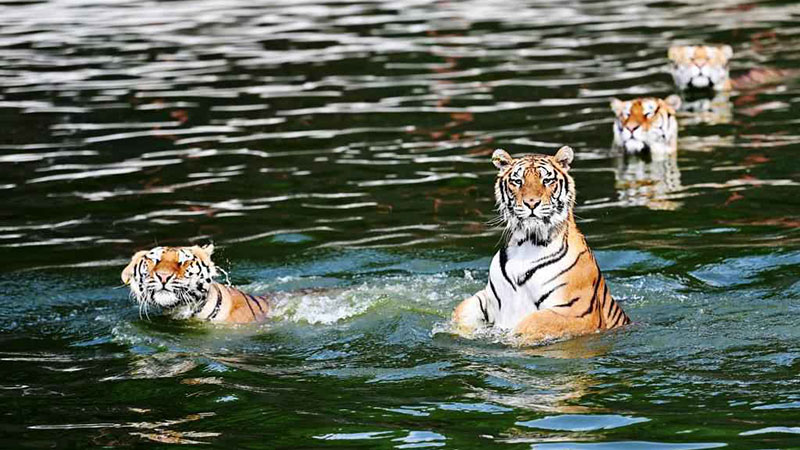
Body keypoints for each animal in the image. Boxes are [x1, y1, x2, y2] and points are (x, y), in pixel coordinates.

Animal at [452, 146, 630, 344]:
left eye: (547, 180)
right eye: (518, 181)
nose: (531, 203)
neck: (527, 245)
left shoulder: (579, 311)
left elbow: (534, 321)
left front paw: (512, 338)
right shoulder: (488, 297)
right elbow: (462, 309)